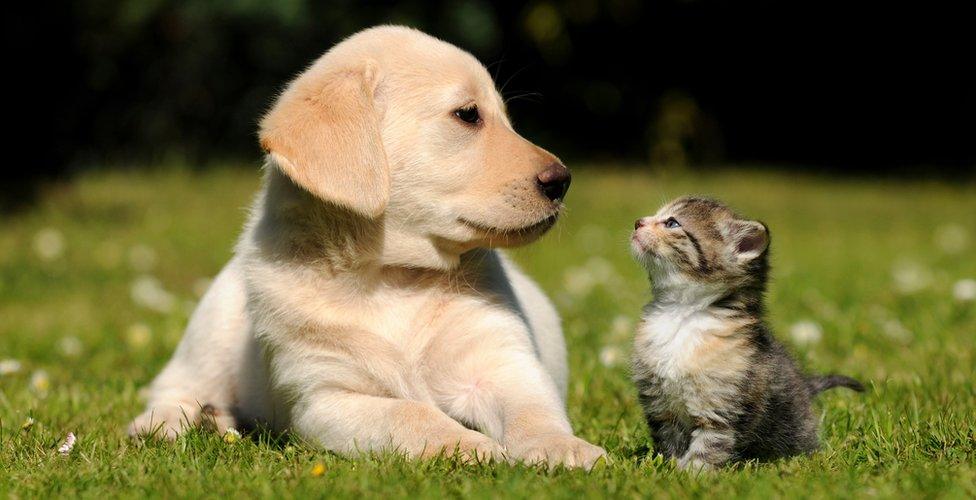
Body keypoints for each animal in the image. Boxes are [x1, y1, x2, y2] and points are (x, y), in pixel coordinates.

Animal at [130, 26, 604, 468]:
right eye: (468, 115)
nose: (563, 181)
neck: (393, 276)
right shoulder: (327, 398)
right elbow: (411, 414)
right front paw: (470, 447)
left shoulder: (502, 363)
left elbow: (532, 409)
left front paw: (563, 447)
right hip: (212, 327)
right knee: (173, 385)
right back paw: (171, 423)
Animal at [624, 197, 860, 470]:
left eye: (672, 223)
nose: (637, 222)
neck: (681, 315)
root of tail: (806, 386)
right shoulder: (661, 405)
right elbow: (669, 440)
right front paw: (668, 468)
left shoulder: (722, 407)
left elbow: (709, 445)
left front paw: (693, 473)